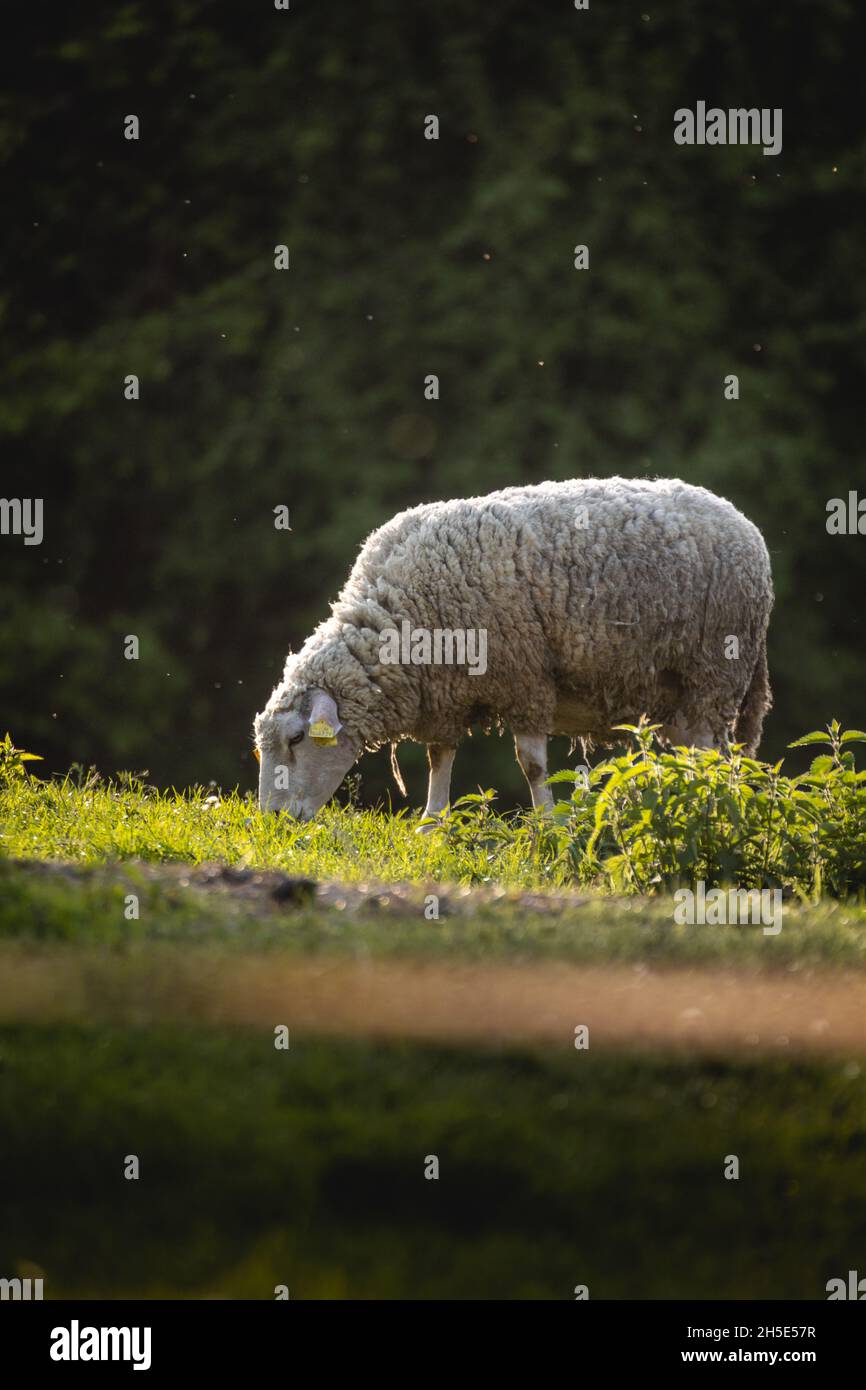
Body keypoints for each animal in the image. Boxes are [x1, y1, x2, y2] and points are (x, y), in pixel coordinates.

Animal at [253, 477, 773, 822]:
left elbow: (533, 765)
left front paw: (546, 824)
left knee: (713, 758)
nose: (274, 822)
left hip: (714, 675)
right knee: (695, 756)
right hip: (677, 697)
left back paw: (709, 808)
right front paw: (432, 823)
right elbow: (439, 757)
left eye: (296, 739)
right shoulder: (445, 694)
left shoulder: (525, 680)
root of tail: (744, 522)